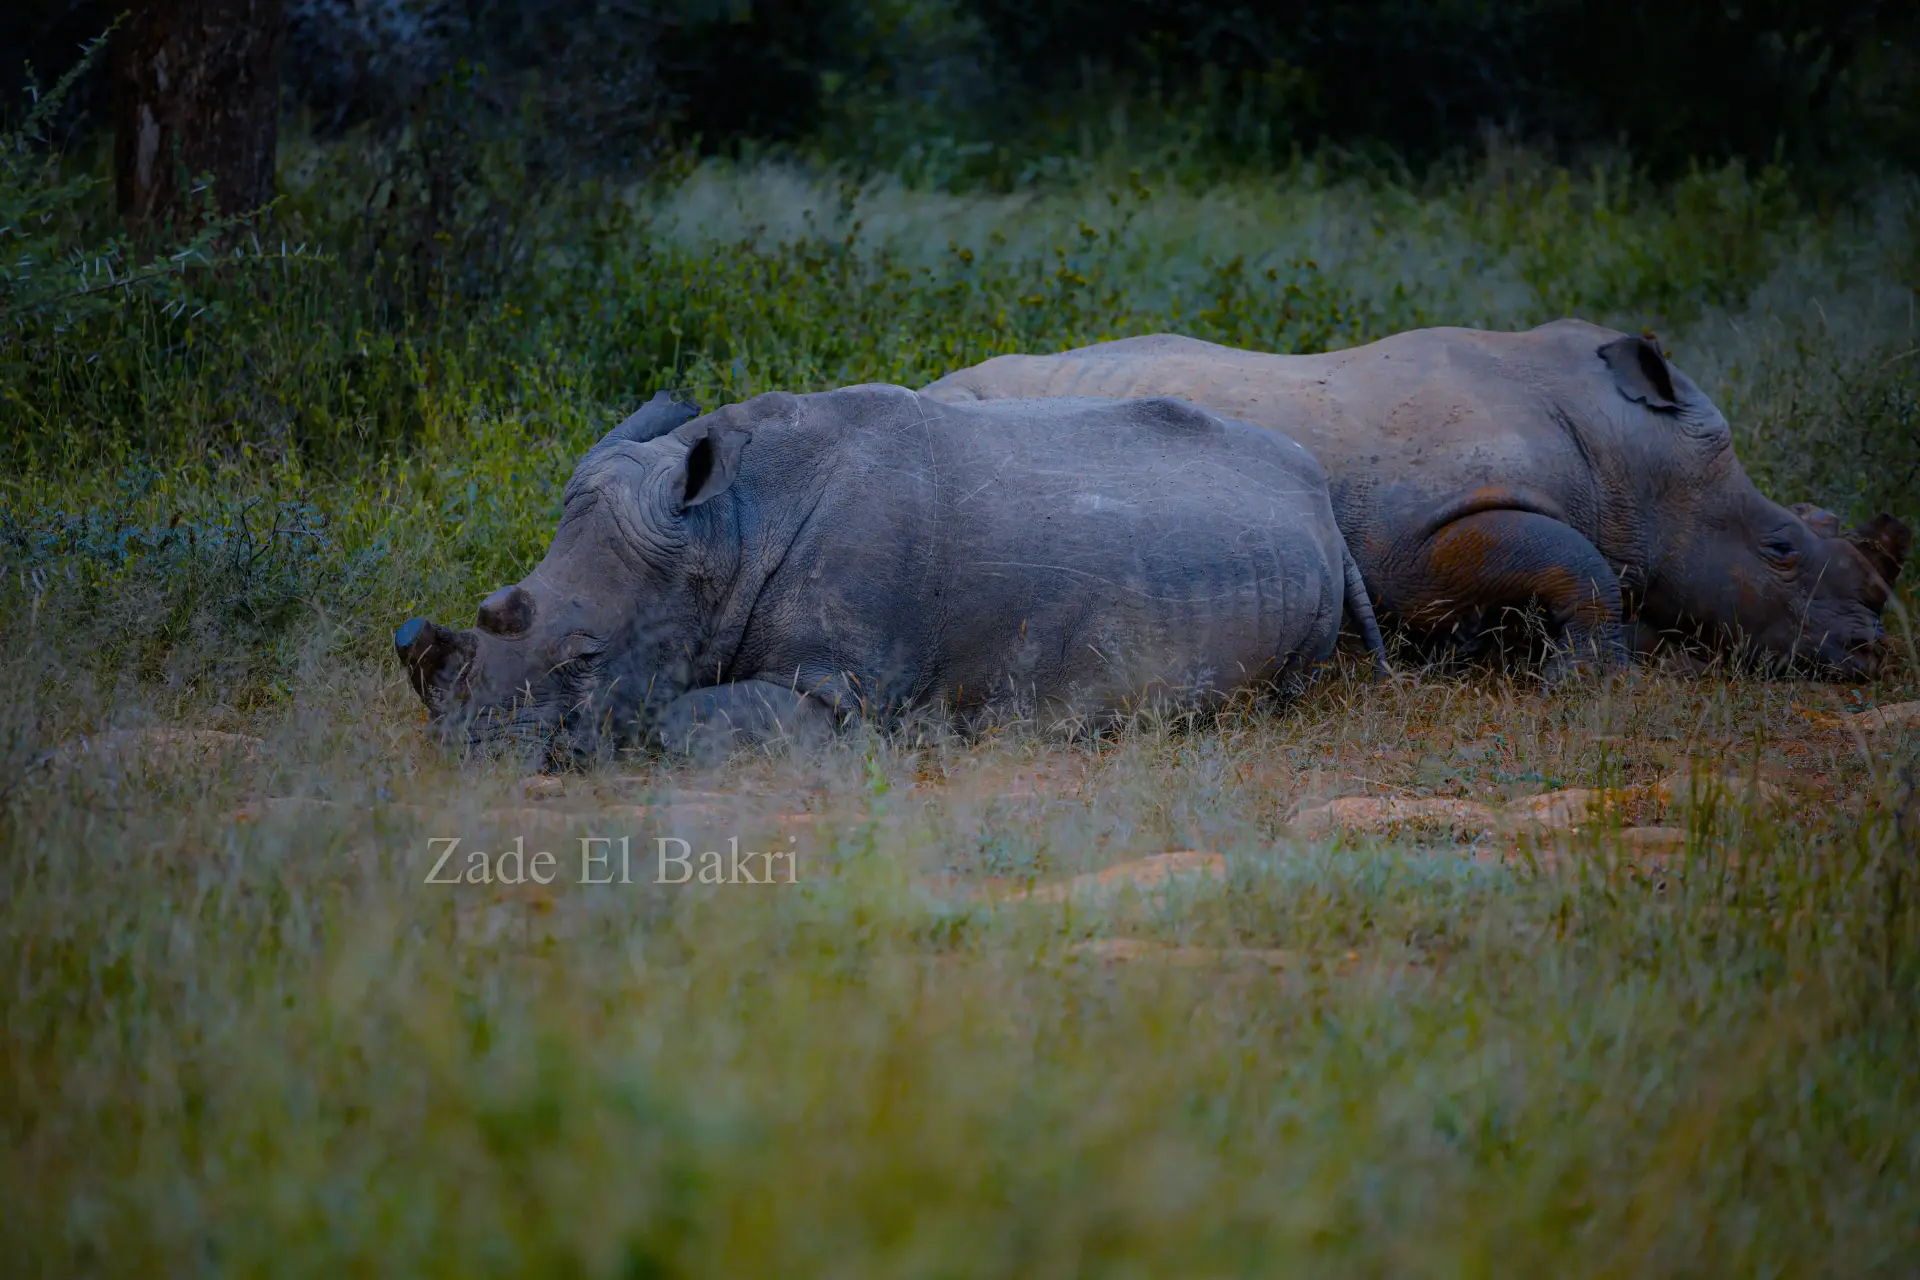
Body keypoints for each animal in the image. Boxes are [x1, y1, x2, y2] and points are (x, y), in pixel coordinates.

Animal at [394, 385, 1387, 762]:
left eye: (584, 658)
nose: (460, 745)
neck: (724, 534)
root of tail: (1322, 506)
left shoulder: (843, 690)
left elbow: (674, 720)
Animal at [923, 321, 1910, 680]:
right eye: (1781, 549)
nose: (1870, 653)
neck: (1632, 463)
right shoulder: (1433, 531)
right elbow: (1580, 564)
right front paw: (1596, 678)